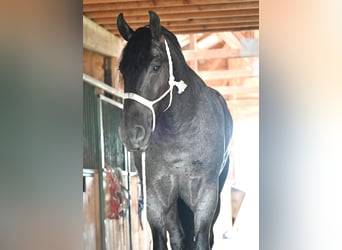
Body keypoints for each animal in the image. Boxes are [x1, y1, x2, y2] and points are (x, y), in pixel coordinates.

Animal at [117, 10, 232, 249]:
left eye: (156, 66)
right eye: (122, 70)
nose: (132, 133)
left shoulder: (205, 198)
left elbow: (201, 240)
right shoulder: (155, 198)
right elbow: (162, 240)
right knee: (178, 236)